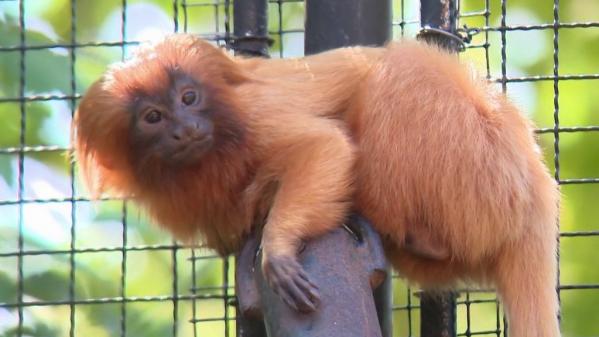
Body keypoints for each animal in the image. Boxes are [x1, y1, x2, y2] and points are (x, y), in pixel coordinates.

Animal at [72, 34, 560, 336]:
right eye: (153, 117)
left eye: (189, 98)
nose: (185, 127)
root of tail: (536, 188)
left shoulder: (257, 115)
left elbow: (323, 147)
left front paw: (278, 248)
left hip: (480, 163)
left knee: (398, 73)